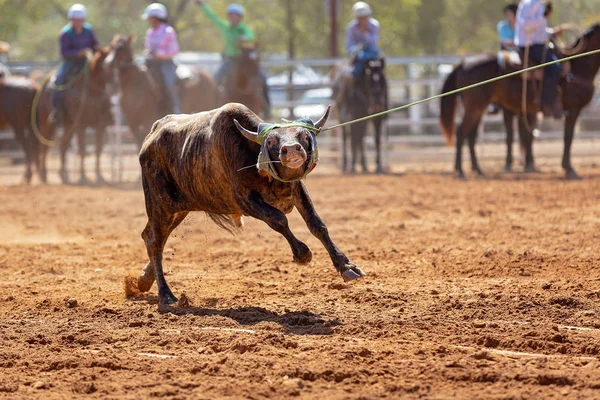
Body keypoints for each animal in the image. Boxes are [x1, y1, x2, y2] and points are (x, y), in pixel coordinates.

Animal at [133, 104, 364, 306]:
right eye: (270, 141)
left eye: (304, 136)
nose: (291, 150)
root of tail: (151, 136)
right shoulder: (244, 200)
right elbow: (278, 219)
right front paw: (302, 253)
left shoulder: (297, 188)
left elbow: (316, 224)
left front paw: (347, 266)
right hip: (159, 204)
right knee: (154, 240)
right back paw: (165, 294)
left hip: (179, 209)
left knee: (153, 237)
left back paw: (144, 280)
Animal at [438, 21, 596, 178]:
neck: (577, 68)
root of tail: (462, 64)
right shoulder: (573, 109)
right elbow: (567, 137)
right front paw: (569, 168)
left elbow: (527, 136)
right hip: (475, 106)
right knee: (461, 133)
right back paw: (460, 170)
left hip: (478, 107)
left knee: (471, 135)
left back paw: (478, 170)